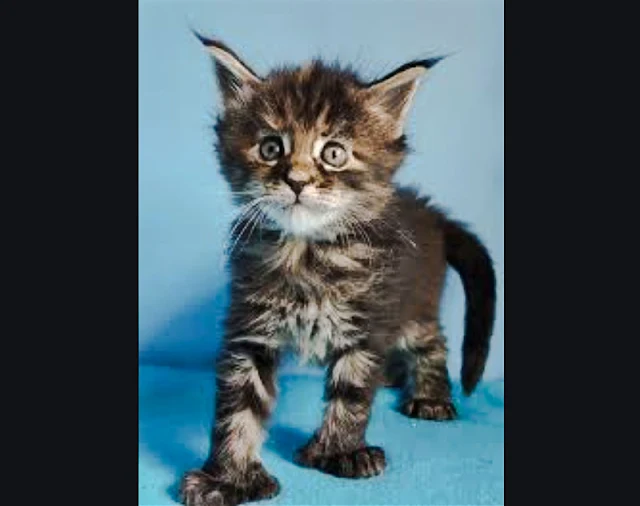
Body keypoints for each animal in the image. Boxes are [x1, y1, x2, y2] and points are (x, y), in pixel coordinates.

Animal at [180, 34, 496, 506]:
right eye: (271, 148)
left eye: (333, 153)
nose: (296, 180)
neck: (306, 254)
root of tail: (430, 212)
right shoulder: (250, 329)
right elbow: (238, 406)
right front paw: (229, 478)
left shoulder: (367, 323)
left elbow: (351, 393)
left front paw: (340, 452)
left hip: (416, 304)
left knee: (432, 342)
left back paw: (430, 396)